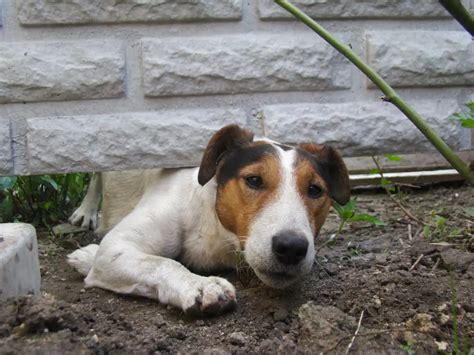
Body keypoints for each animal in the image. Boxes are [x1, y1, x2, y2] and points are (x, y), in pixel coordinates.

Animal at [66, 125, 350, 318]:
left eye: (314, 190)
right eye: (254, 180)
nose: (291, 247)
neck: (215, 228)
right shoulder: (116, 248)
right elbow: (163, 262)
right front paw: (200, 285)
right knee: (95, 177)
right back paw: (86, 212)